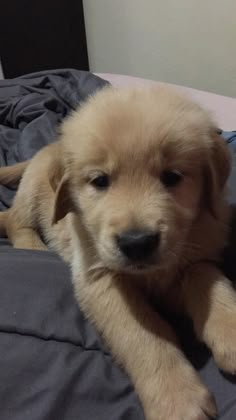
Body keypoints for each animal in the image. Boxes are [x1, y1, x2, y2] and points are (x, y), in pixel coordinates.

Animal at [0, 84, 236, 416]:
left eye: (172, 177)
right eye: (100, 181)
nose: (136, 243)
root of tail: (48, 147)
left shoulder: (200, 252)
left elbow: (207, 278)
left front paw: (230, 330)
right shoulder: (99, 276)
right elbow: (140, 332)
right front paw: (176, 398)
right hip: (33, 187)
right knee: (12, 219)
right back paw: (32, 245)